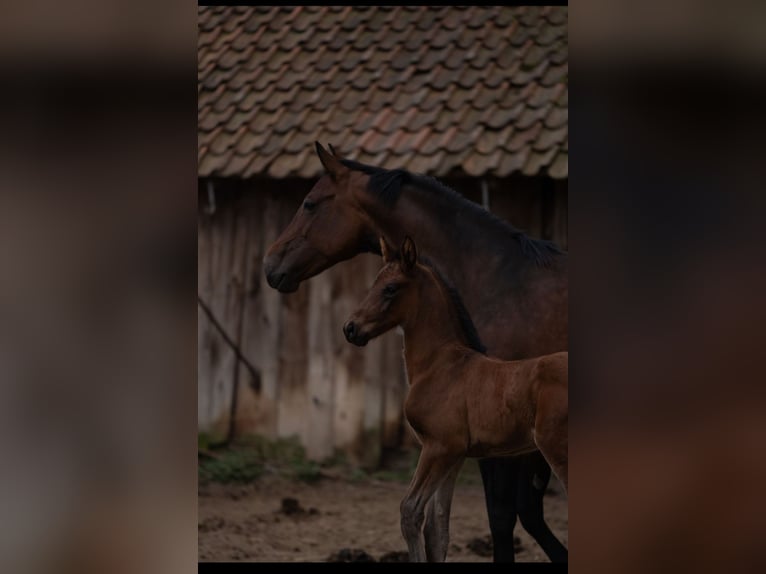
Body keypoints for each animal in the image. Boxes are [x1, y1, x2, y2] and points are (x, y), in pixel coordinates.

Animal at [343, 236, 568, 562]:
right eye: (375, 282)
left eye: (391, 288)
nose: (351, 328)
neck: (440, 365)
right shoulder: (455, 455)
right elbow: (438, 530)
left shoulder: (438, 447)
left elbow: (411, 512)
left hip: (558, 450)